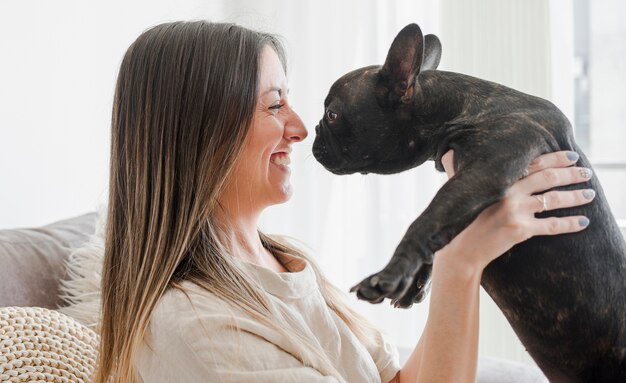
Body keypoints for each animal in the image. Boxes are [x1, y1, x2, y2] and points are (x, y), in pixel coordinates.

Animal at [312, 24, 624, 383]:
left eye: (332, 115)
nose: (313, 134)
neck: (456, 108)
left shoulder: (487, 169)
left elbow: (429, 217)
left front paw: (392, 275)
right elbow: (443, 225)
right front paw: (415, 281)